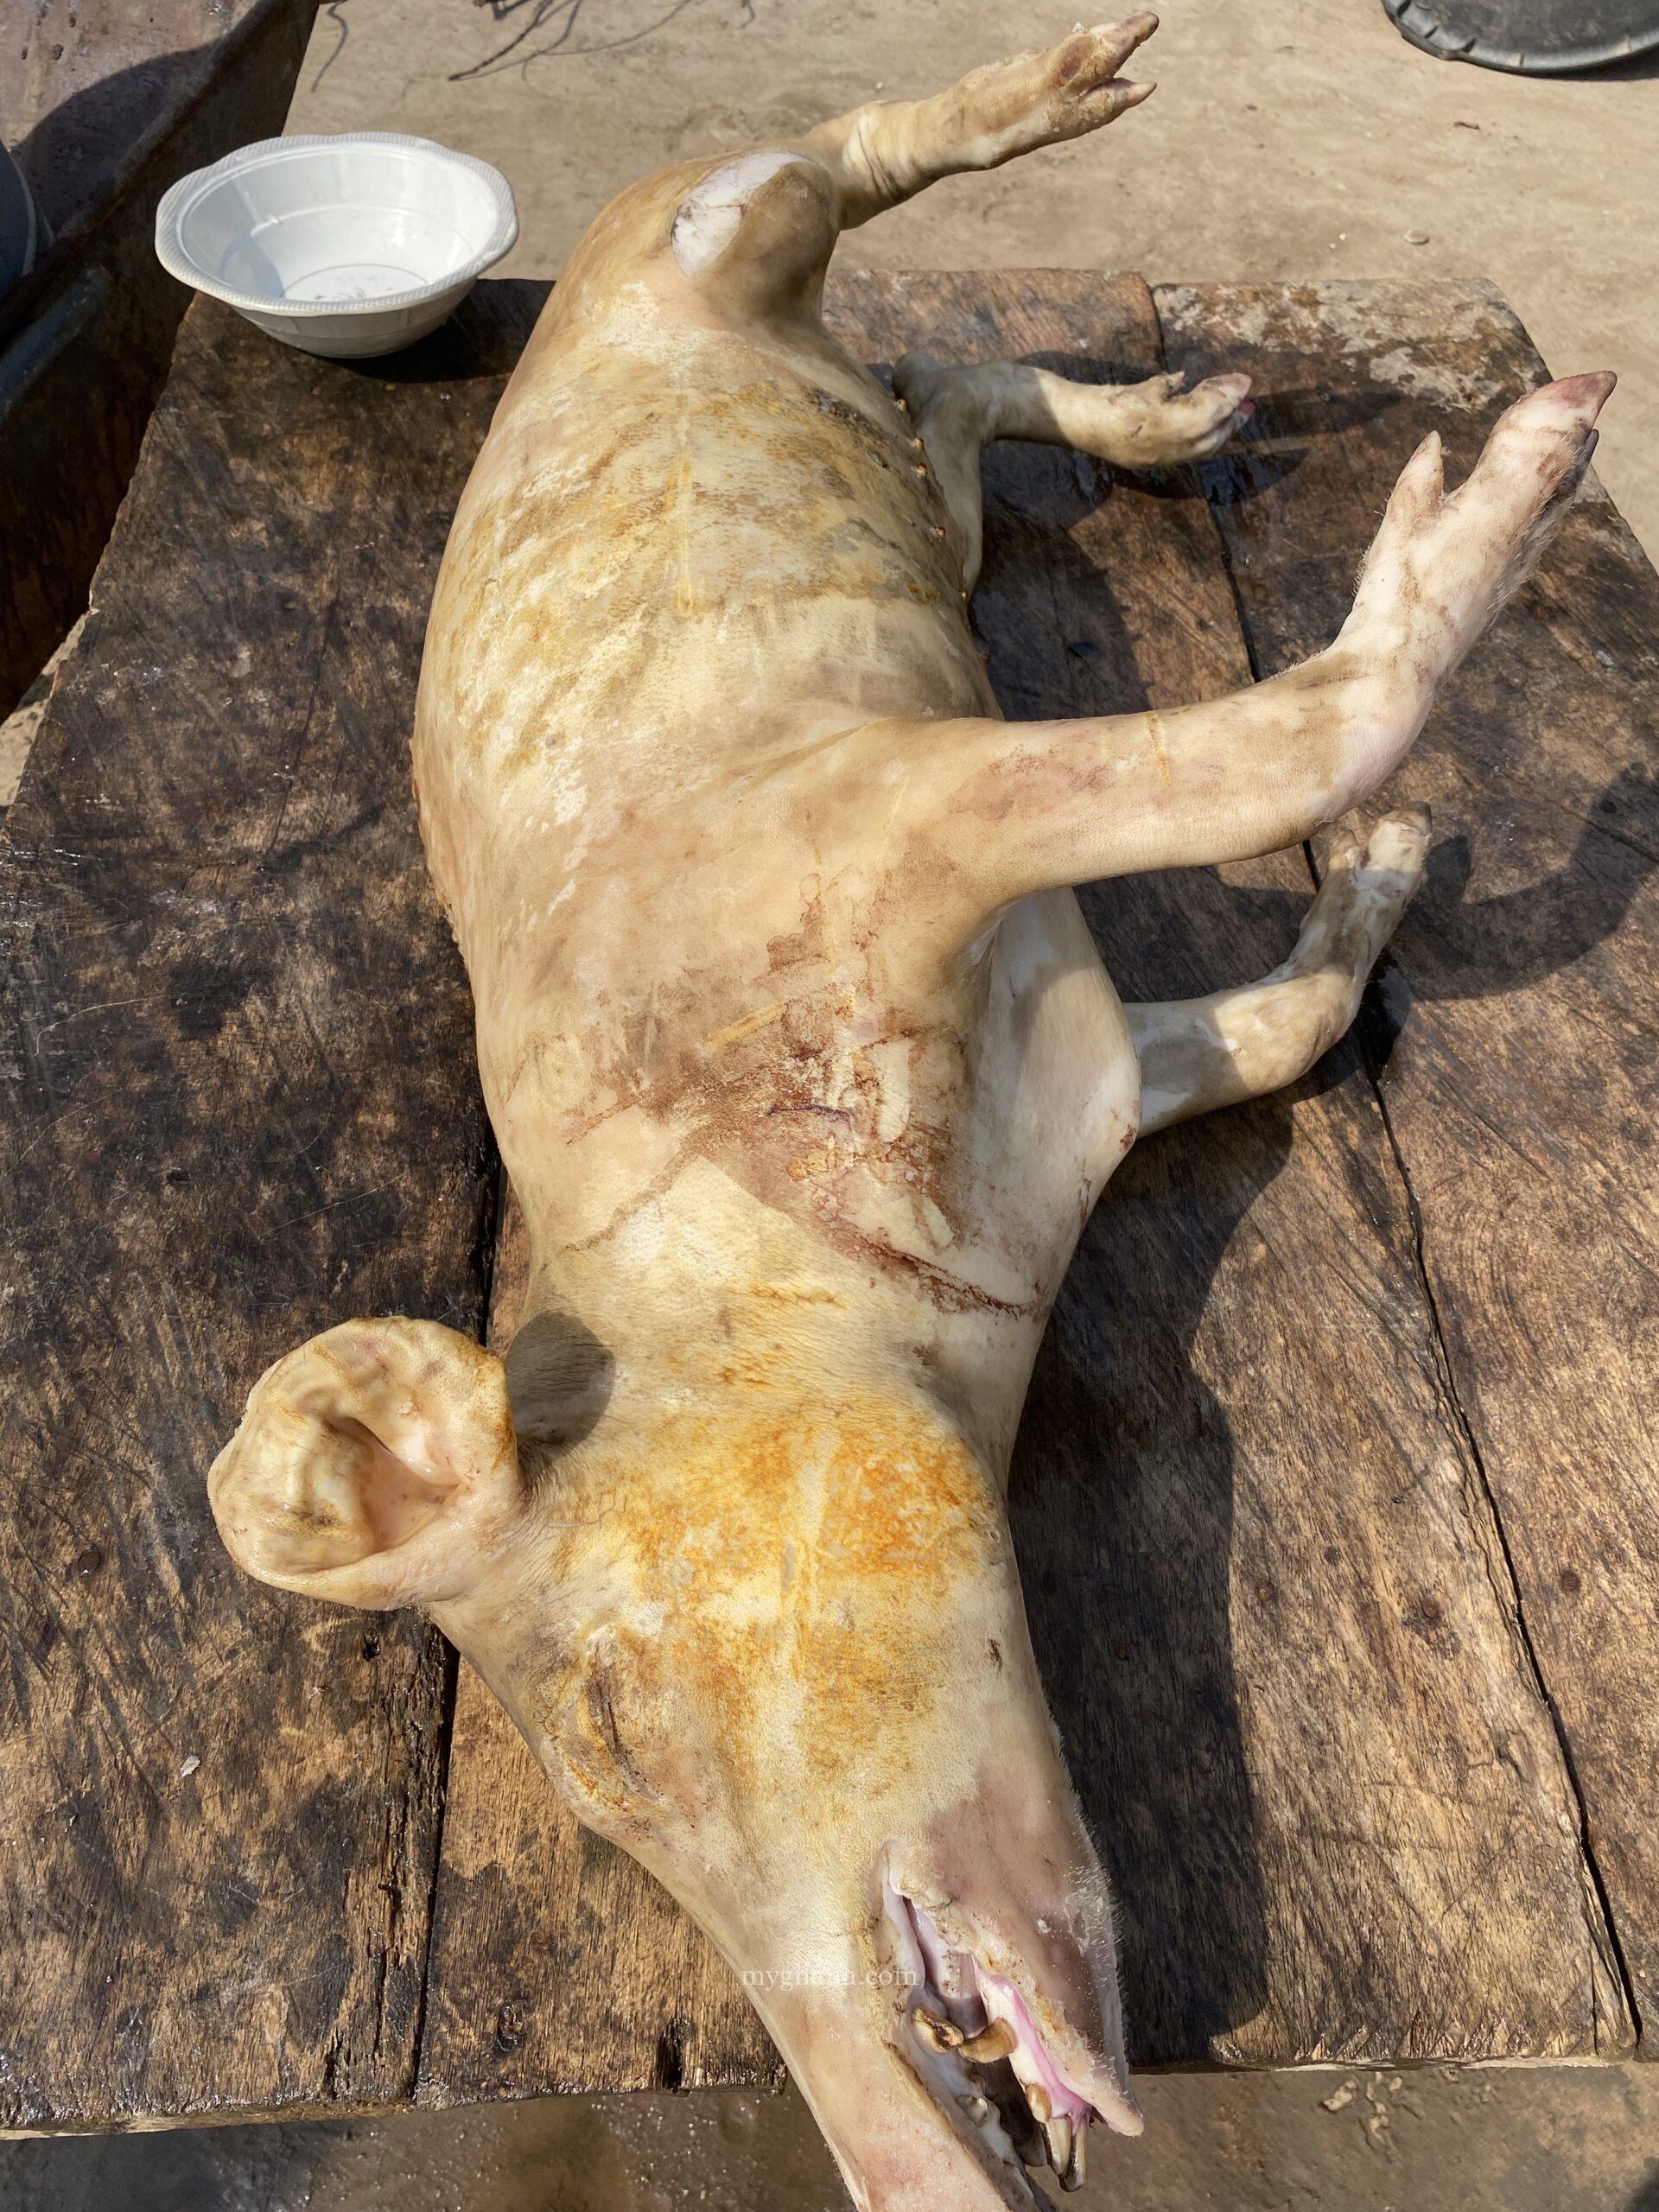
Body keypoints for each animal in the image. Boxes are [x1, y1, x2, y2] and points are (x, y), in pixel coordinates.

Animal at [207, 15, 1613, 2207]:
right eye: (599, 1815)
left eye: (611, 1714)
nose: (899, 2174)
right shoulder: (1098, 1073)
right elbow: (1285, 1018)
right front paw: (1391, 859)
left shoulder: (890, 810)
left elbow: (1275, 739)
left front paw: (1518, 471)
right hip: (876, 452)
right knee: (935, 386)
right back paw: (1186, 399)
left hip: (699, 224)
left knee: (826, 166)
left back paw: (1099, 107)